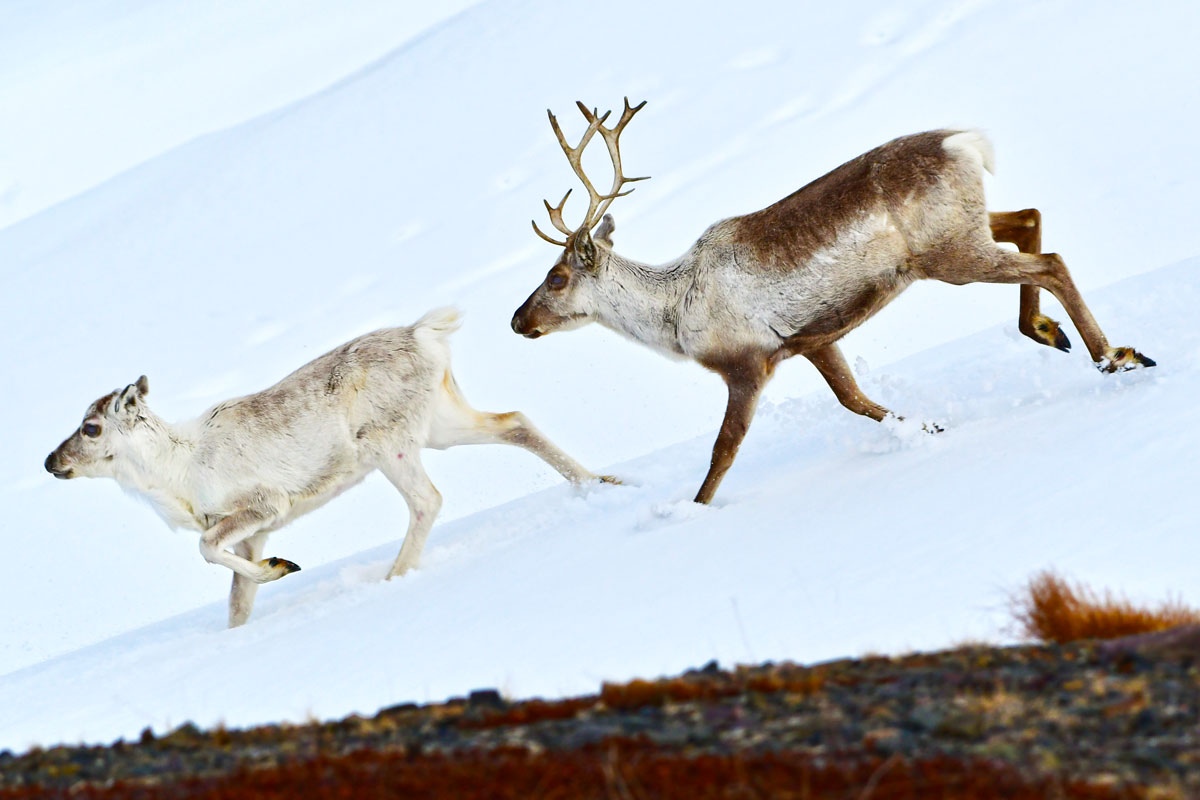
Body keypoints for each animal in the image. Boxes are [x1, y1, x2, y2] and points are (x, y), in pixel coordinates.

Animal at [45, 308, 611, 627]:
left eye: (90, 428)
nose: (51, 461)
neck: (174, 475)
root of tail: (424, 333)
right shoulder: (254, 534)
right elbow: (237, 606)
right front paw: (269, 580)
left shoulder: (263, 505)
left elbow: (205, 548)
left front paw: (285, 567)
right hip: (440, 425)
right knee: (514, 421)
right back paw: (600, 482)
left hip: (389, 443)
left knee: (427, 500)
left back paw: (392, 577)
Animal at [511, 99, 1155, 505]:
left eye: (557, 276)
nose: (518, 320)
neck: (676, 313)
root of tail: (964, 141)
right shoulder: (811, 341)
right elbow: (855, 399)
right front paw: (927, 427)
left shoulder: (748, 366)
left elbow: (723, 451)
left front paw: (689, 512)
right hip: (959, 237)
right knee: (1029, 218)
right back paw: (1048, 331)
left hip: (950, 256)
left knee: (1053, 261)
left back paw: (1115, 357)